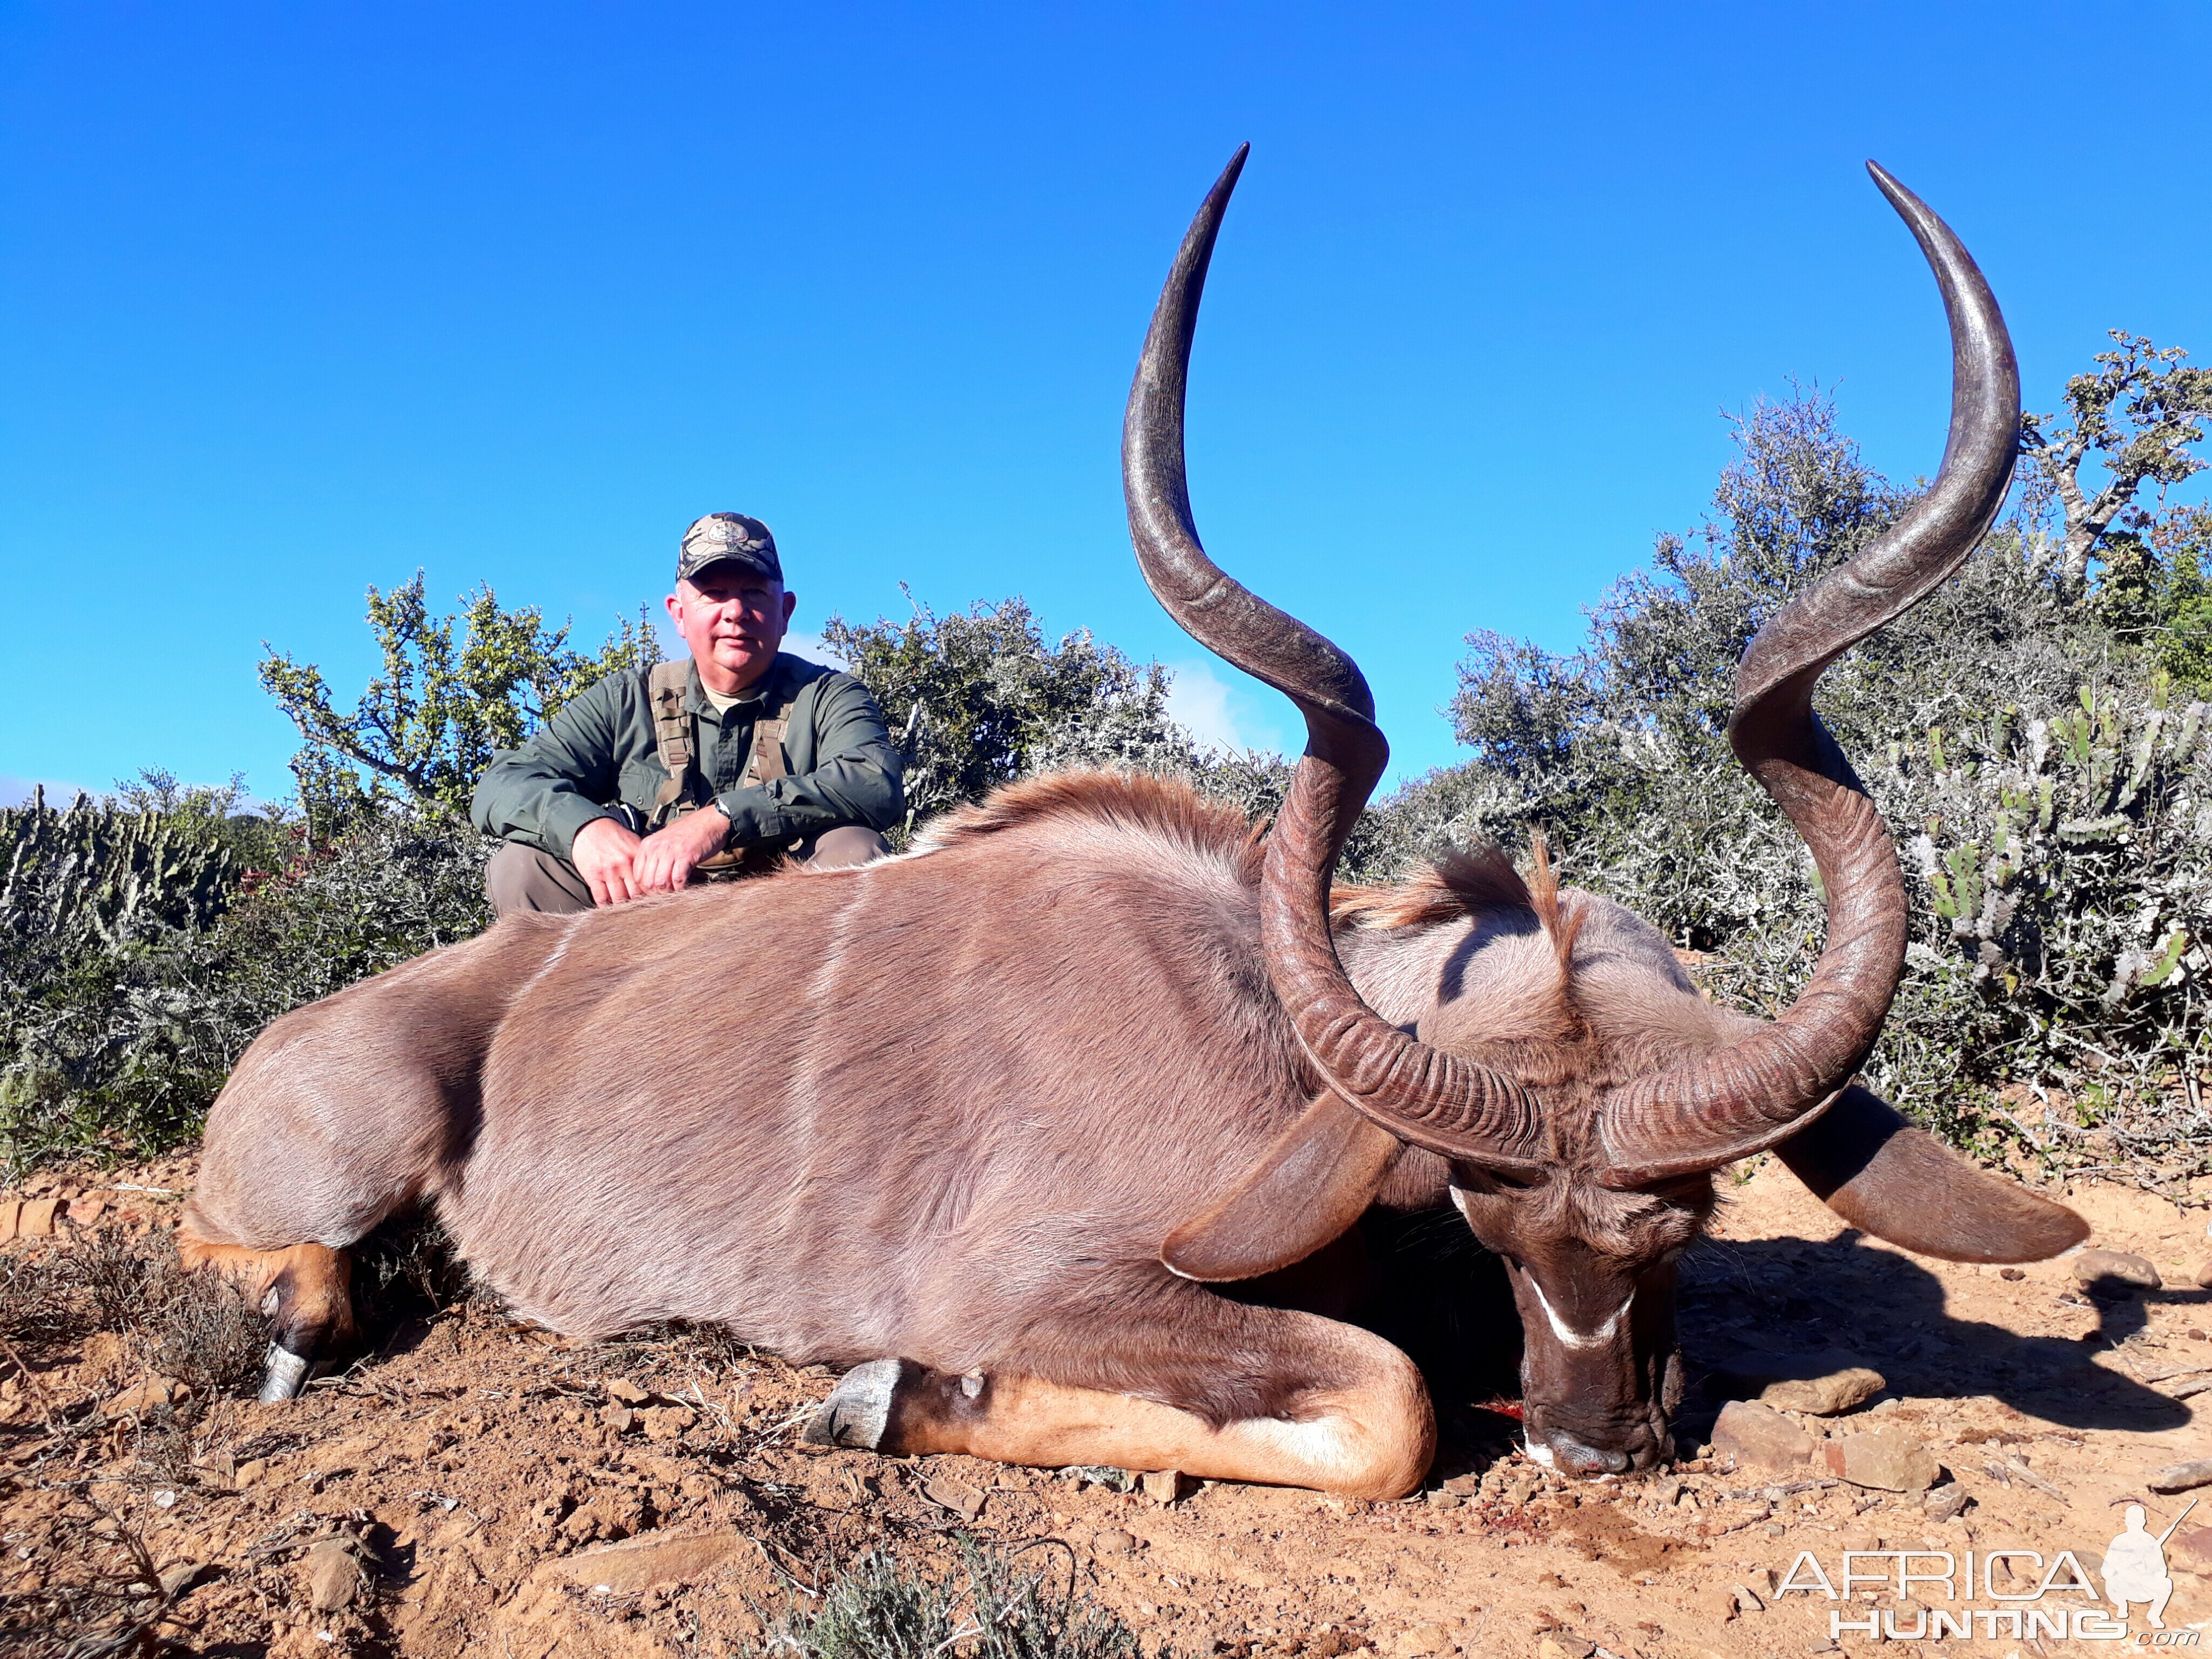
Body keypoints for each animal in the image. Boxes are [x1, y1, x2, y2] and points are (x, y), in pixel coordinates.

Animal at [186, 152, 2088, 1495]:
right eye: (1488, 1228)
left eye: (1683, 1225)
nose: (1586, 1443)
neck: (1261, 1030)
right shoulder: (1029, 1282)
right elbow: (1390, 1402)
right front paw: (877, 1399)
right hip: (337, 1155)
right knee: (243, 1245)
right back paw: (293, 1318)